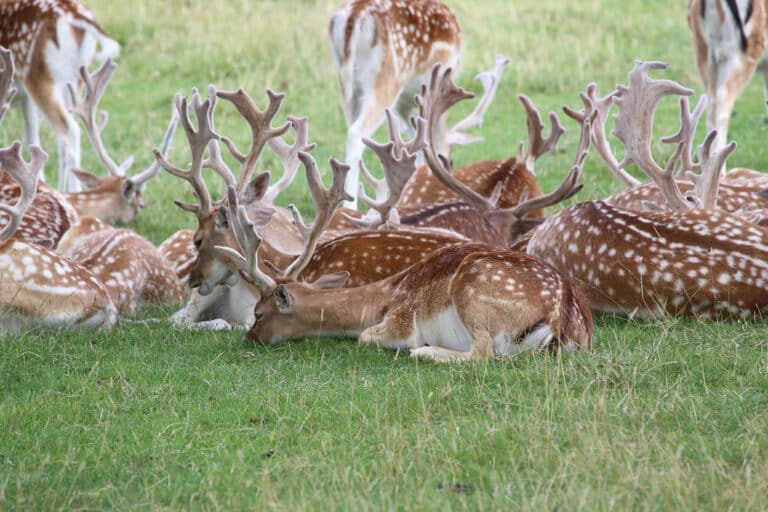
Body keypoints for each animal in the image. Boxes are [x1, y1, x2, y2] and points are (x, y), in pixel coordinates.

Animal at [0, 1, 120, 192]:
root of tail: (75, 16)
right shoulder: (26, 100)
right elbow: (32, 138)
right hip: (73, 81)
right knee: (63, 137)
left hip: (38, 77)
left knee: (70, 130)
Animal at [329, 0, 462, 208]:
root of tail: (354, 16)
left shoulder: (404, 104)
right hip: (387, 80)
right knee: (356, 133)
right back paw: (350, 207)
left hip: (347, 85)